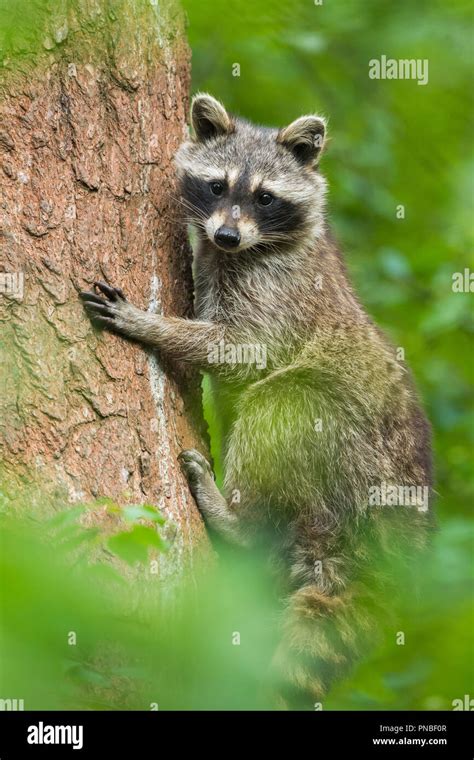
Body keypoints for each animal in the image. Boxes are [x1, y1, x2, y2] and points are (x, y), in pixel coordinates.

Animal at [81, 93, 434, 708]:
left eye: (265, 197)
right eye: (218, 186)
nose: (225, 236)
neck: (246, 248)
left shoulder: (277, 288)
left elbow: (243, 353)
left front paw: (153, 326)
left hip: (349, 447)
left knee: (281, 403)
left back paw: (238, 519)